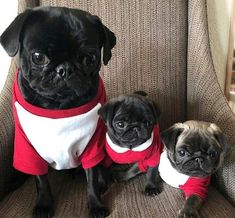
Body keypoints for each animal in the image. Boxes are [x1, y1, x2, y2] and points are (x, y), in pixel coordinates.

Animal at [0, 5, 115, 217]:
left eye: (90, 58)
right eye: (38, 57)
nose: (65, 69)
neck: (59, 106)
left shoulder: (93, 146)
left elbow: (92, 178)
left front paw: (96, 204)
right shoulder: (30, 149)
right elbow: (41, 180)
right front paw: (44, 204)